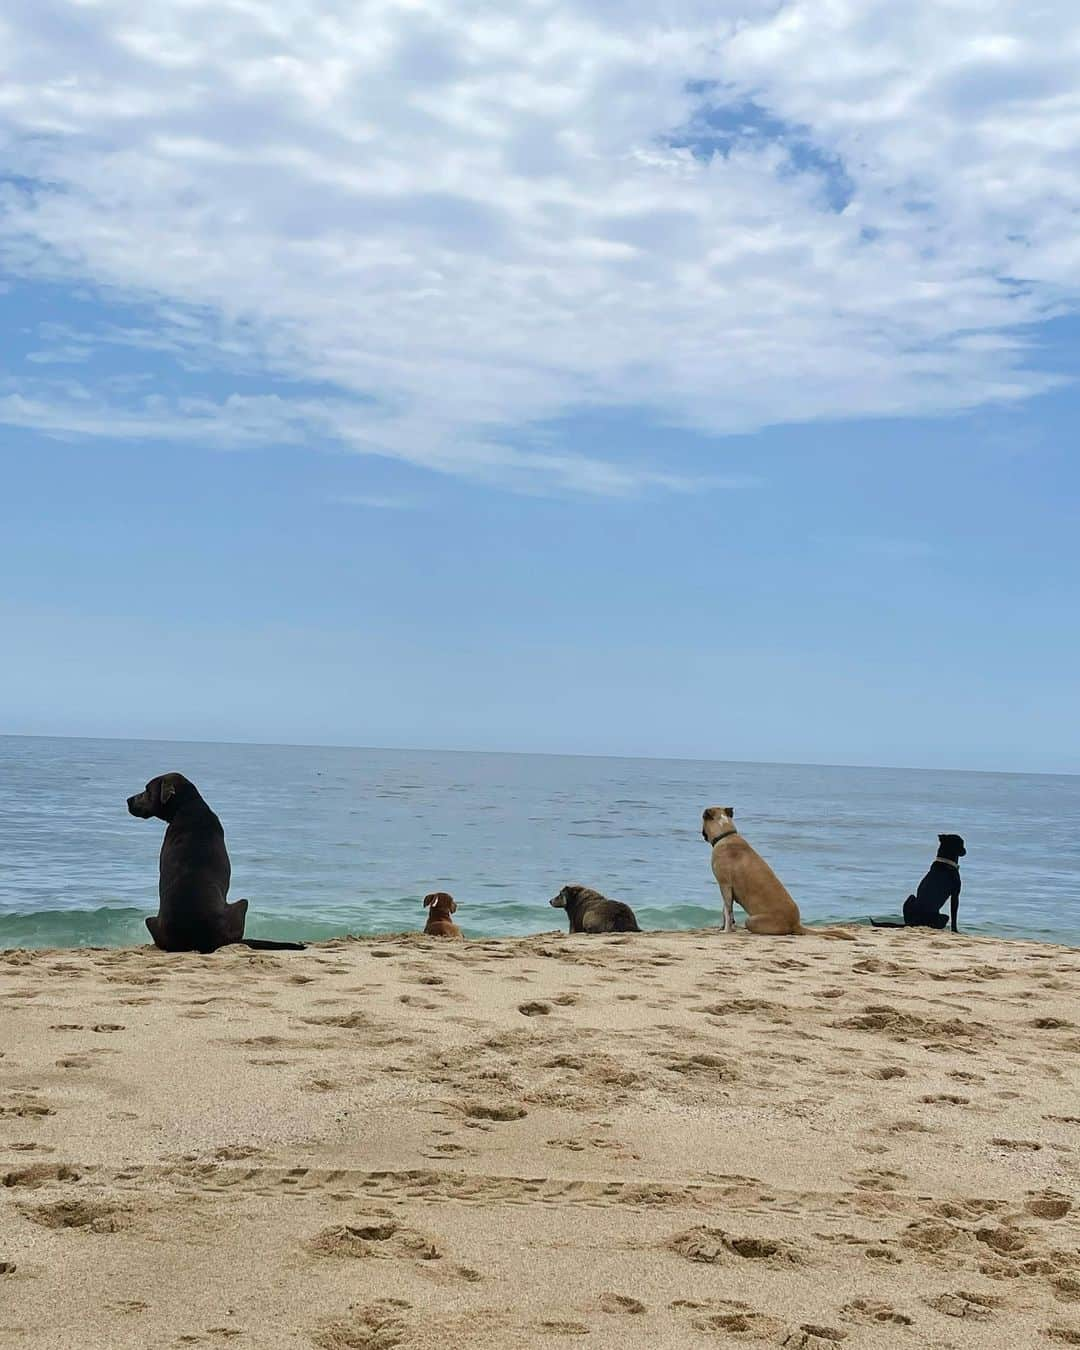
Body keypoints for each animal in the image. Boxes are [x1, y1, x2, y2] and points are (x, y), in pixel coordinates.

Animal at [702, 804, 858, 945]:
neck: (725, 834)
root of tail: (796, 924)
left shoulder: (725, 886)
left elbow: (727, 911)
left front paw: (726, 930)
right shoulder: (726, 889)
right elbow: (726, 910)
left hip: (751, 920)